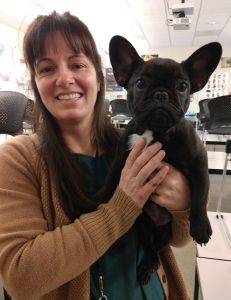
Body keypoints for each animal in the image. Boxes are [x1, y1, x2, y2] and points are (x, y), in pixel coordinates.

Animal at [92, 36, 222, 284]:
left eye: (183, 86)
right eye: (140, 83)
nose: (161, 94)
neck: (156, 131)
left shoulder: (199, 163)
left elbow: (201, 194)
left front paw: (201, 226)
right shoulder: (123, 157)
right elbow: (112, 178)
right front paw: (101, 195)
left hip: (165, 232)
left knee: (158, 247)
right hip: (143, 226)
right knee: (150, 246)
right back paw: (147, 265)